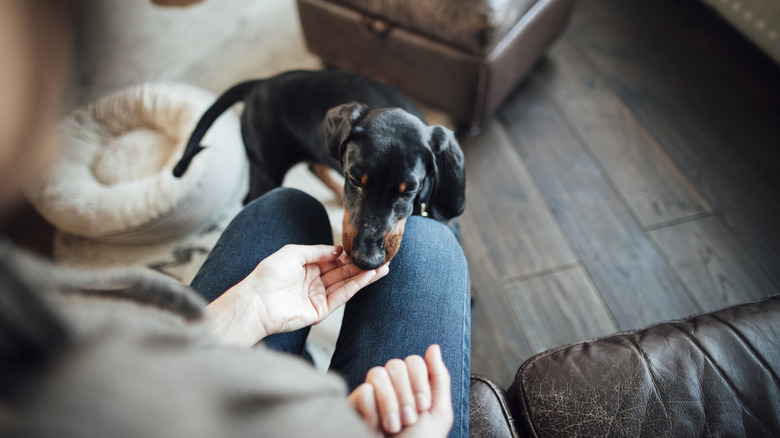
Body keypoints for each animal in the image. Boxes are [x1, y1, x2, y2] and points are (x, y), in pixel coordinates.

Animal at [174, 69, 466, 268]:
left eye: (409, 190)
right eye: (355, 179)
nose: (366, 260)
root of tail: (260, 84)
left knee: (315, 168)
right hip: (266, 169)